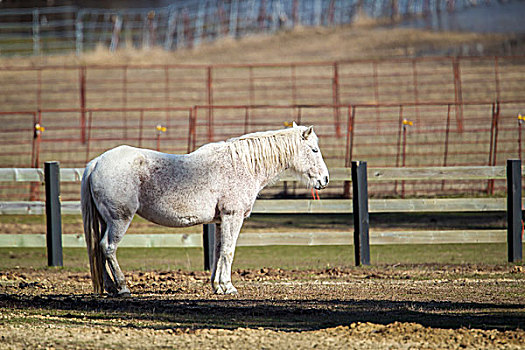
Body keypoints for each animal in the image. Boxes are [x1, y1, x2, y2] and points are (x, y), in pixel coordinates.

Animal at [80, 123, 328, 296]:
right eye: (314, 150)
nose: (324, 180)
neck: (241, 165)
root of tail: (96, 163)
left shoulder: (220, 221)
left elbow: (218, 251)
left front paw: (217, 286)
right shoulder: (232, 217)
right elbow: (228, 251)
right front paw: (228, 287)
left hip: (106, 221)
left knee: (99, 250)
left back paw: (110, 287)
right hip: (119, 220)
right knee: (108, 248)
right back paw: (122, 287)